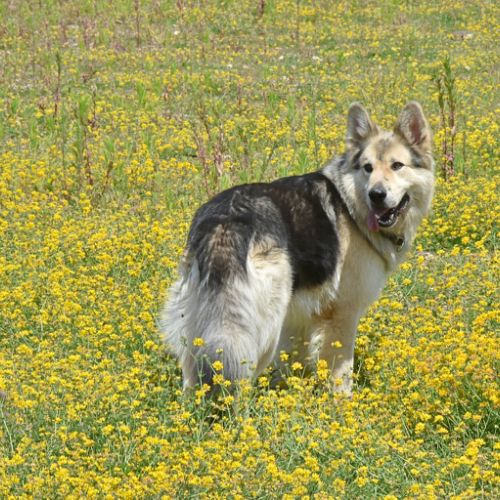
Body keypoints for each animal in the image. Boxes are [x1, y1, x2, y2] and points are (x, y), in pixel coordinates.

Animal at [160, 102, 434, 395]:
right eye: (367, 168)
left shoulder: (297, 318)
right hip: (259, 330)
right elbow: (341, 372)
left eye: (397, 166)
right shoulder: (342, 315)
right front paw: (342, 401)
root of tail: (226, 220)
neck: (351, 207)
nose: (376, 195)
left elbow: (293, 364)